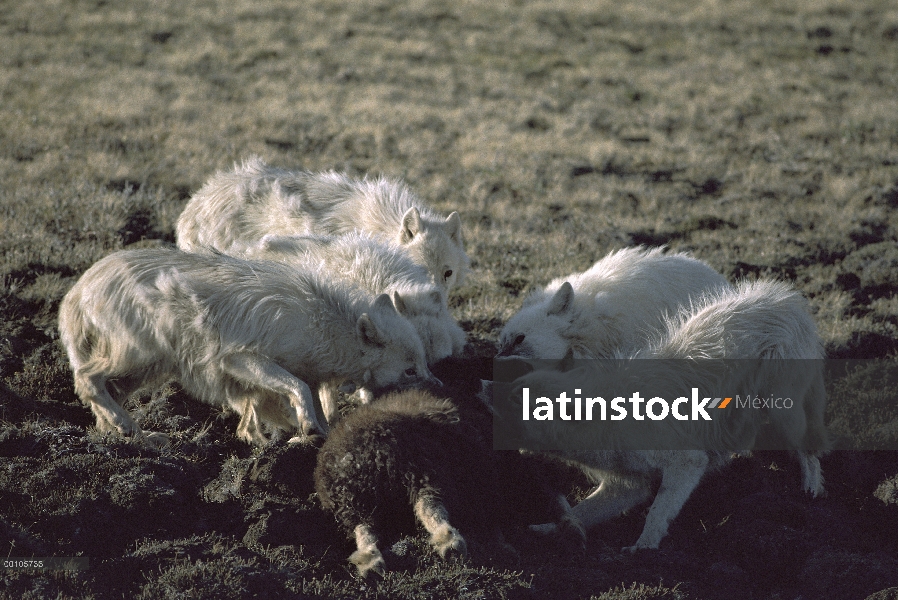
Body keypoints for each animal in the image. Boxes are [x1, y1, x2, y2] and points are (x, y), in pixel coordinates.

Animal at [57, 247, 438, 446]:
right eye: (409, 370)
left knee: (103, 394)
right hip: (139, 358)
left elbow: (308, 406)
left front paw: (306, 435)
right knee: (87, 381)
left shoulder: (297, 376)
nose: (439, 387)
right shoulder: (242, 359)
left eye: (423, 364)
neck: (325, 325)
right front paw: (306, 431)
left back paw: (124, 436)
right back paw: (130, 430)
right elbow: (297, 390)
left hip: (145, 370)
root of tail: (76, 290)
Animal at [496, 278, 824, 552]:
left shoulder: (686, 462)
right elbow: (580, 512)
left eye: (517, 398)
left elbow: (657, 511)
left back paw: (811, 489)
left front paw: (643, 549)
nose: (487, 385)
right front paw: (546, 530)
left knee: (808, 450)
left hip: (782, 410)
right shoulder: (627, 485)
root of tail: (784, 297)